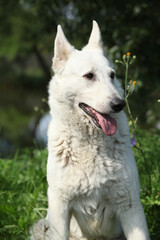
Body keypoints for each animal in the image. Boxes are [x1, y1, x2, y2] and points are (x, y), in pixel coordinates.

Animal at [30, 21, 150, 240]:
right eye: (89, 76)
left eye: (112, 76)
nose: (119, 104)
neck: (90, 145)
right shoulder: (61, 210)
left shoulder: (130, 204)